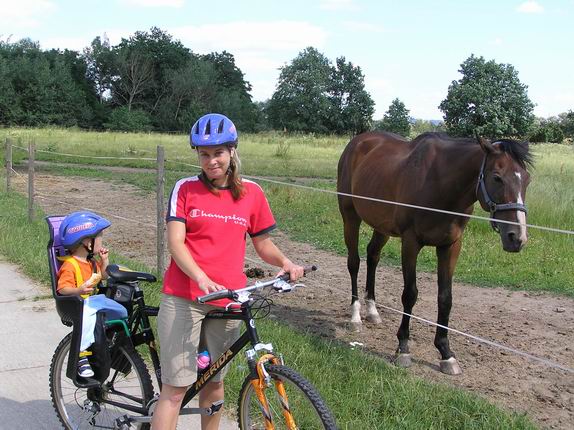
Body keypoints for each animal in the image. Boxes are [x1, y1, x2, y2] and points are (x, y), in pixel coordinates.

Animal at [338, 130, 536, 372]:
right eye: (497, 177)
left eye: (526, 179)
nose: (517, 238)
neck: (441, 184)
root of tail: (357, 141)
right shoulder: (411, 242)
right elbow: (410, 294)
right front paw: (403, 347)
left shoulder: (450, 246)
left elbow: (445, 298)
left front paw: (445, 353)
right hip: (350, 217)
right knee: (354, 262)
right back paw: (355, 316)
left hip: (381, 226)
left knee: (373, 256)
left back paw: (372, 311)